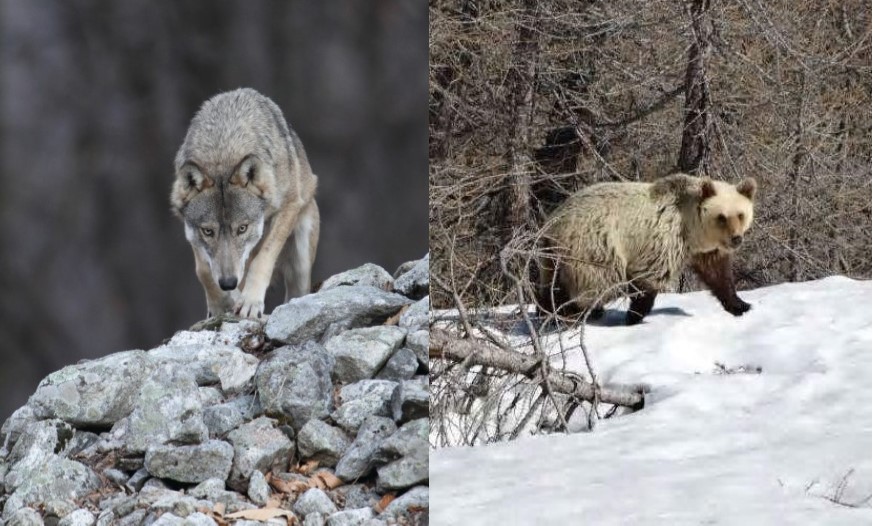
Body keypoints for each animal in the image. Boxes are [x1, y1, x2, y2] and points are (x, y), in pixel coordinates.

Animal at [170, 88, 320, 319]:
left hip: (301, 261)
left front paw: (249, 301)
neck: (223, 151)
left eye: (242, 228)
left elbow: (263, 258)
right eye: (208, 231)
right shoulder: (191, 233)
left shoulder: (290, 204)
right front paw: (221, 302)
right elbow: (203, 270)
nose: (228, 283)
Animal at [538, 173, 757, 325]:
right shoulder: (661, 241)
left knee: (551, 284)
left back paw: (550, 312)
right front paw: (634, 316)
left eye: (740, 214)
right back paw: (573, 313)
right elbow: (648, 277)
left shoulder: (705, 250)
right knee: (594, 282)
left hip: (552, 256)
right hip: (593, 245)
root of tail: (551, 222)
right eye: (721, 217)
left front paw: (741, 305)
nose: (736, 239)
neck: (692, 231)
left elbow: (719, 275)